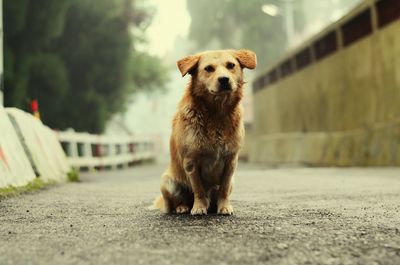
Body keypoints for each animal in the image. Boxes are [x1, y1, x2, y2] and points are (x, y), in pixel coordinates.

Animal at [152, 49, 258, 214]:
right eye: (208, 68)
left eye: (231, 65)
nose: (224, 80)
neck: (216, 113)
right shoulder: (191, 162)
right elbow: (198, 189)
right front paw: (199, 207)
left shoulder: (231, 161)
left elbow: (224, 189)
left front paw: (224, 207)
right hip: (167, 182)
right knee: (175, 203)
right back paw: (183, 207)